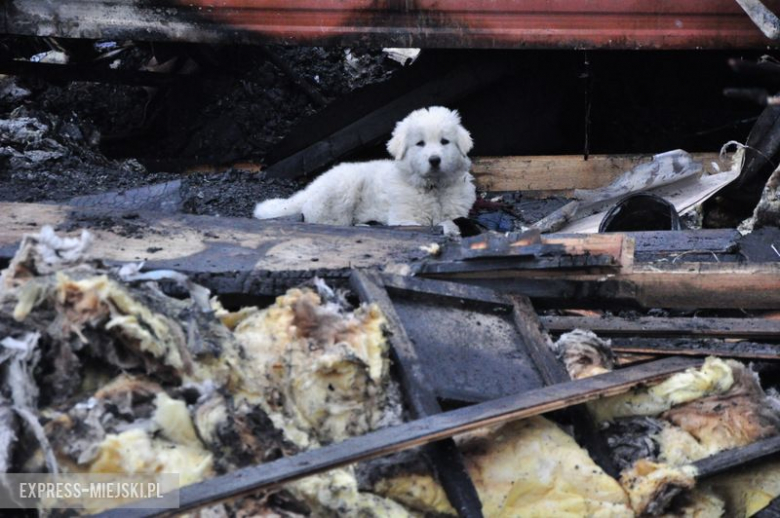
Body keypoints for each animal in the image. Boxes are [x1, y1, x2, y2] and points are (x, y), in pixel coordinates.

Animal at [254, 107, 476, 234]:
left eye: (444, 141)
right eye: (420, 143)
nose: (434, 160)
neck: (433, 188)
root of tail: (312, 187)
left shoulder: (456, 210)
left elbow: (451, 221)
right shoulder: (404, 217)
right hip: (343, 189)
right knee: (324, 218)